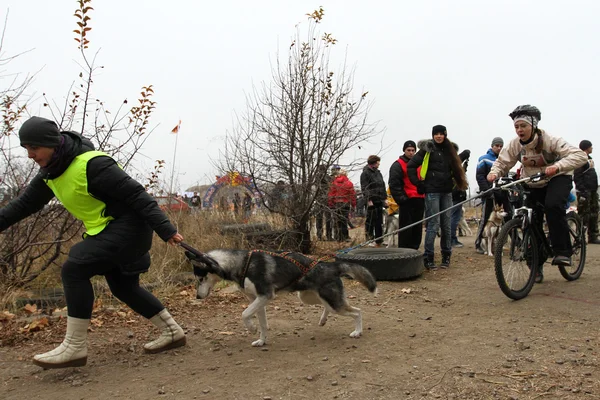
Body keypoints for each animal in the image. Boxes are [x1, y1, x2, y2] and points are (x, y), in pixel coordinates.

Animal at [185, 250, 378, 346]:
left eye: (200, 279)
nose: (197, 296)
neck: (241, 263)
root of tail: (330, 265)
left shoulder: (264, 296)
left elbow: (244, 314)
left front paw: (251, 328)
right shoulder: (257, 301)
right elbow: (262, 323)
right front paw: (261, 340)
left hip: (331, 301)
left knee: (357, 311)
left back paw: (357, 331)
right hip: (307, 297)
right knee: (328, 307)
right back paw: (323, 319)